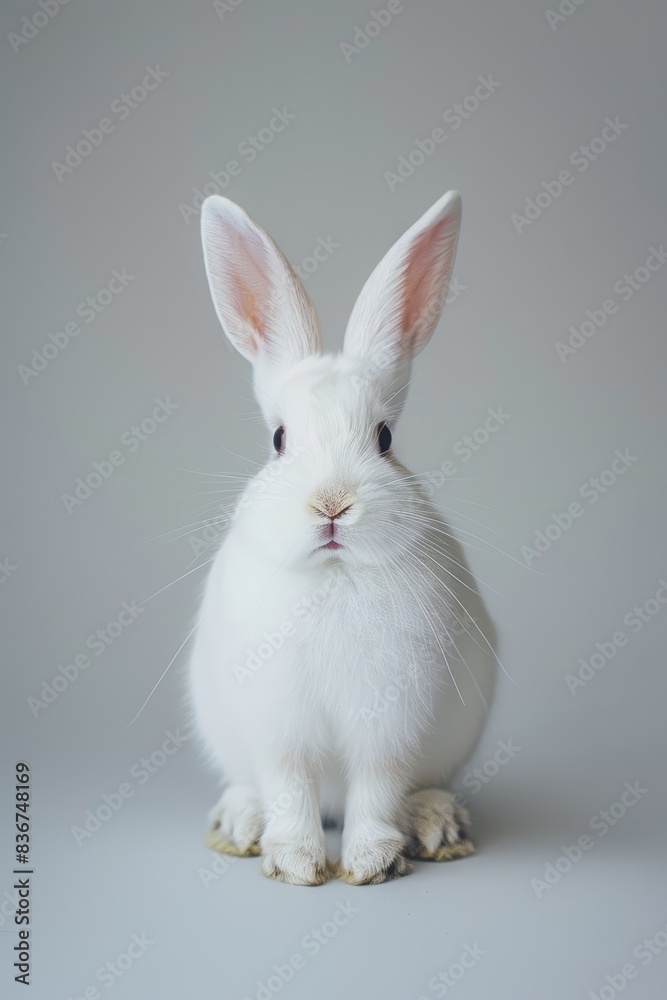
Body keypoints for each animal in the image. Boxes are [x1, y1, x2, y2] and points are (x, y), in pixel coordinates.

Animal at [188, 190, 497, 885]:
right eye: (279, 440)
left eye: (384, 438)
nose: (332, 505)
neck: (333, 572)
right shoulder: (279, 725)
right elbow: (289, 786)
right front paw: (298, 863)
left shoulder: (389, 723)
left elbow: (378, 787)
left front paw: (369, 862)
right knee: (253, 788)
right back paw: (240, 824)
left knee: (417, 788)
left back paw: (437, 825)